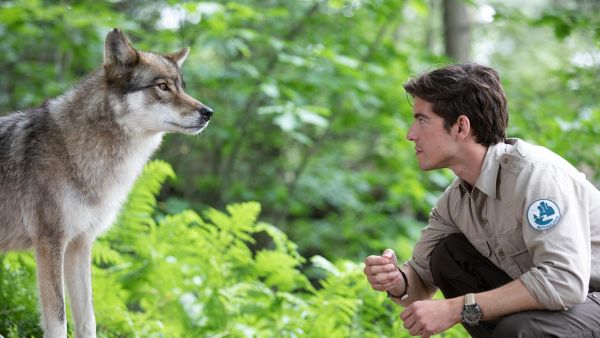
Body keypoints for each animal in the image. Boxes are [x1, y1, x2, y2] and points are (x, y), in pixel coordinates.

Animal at [0, 27, 213, 336]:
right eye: (162, 86)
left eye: (182, 87)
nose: (208, 112)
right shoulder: (50, 244)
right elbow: (59, 319)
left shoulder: (80, 245)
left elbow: (88, 319)